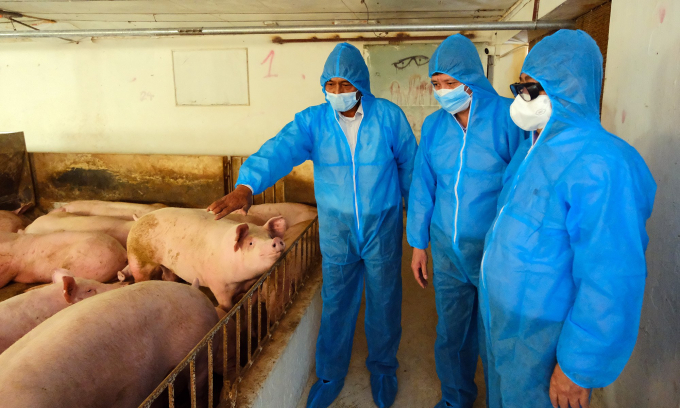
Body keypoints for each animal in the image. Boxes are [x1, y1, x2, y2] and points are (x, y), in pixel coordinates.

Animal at [125, 207, 286, 310]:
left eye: (269, 236)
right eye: (251, 243)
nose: (276, 240)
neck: (243, 281)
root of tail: (139, 219)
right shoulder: (218, 285)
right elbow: (226, 305)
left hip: (167, 264)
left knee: (169, 275)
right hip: (137, 257)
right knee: (141, 275)